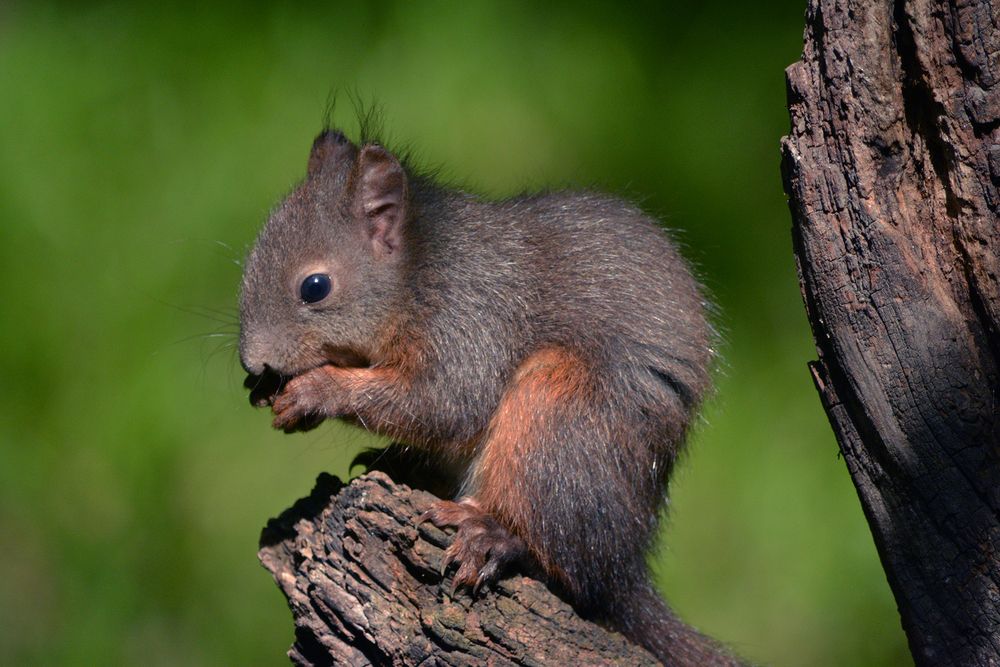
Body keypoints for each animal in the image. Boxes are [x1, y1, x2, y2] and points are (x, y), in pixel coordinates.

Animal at [239, 127, 739, 666]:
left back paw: (496, 537)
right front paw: (267, 390)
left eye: (315, 287)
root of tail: (625, 570)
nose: (252, 363)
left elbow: (444, 405)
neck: (418, 273)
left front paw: (316, 390)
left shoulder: (471, 324)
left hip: (559, 418)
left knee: (565, 561)